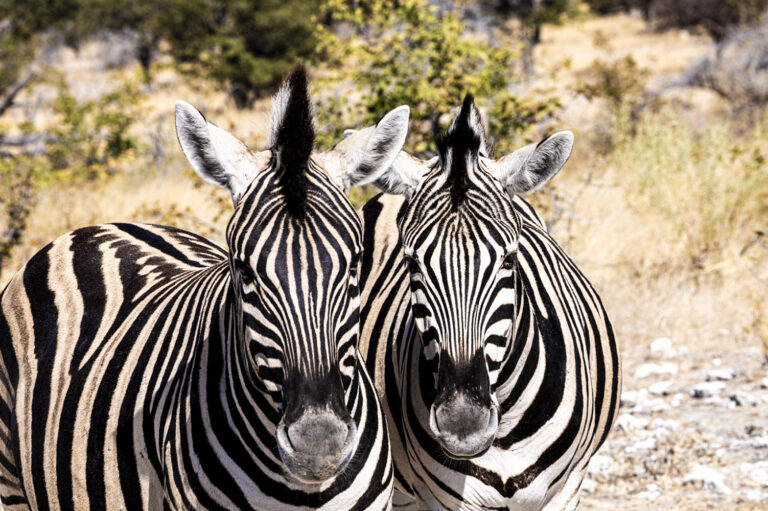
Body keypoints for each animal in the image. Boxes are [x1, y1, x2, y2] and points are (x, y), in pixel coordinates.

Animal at [355, 94, 621, 510]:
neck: (507, 431)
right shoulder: (444, 499)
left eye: (509, 259)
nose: (463, 426)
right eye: (412, 263)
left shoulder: (568, 489)